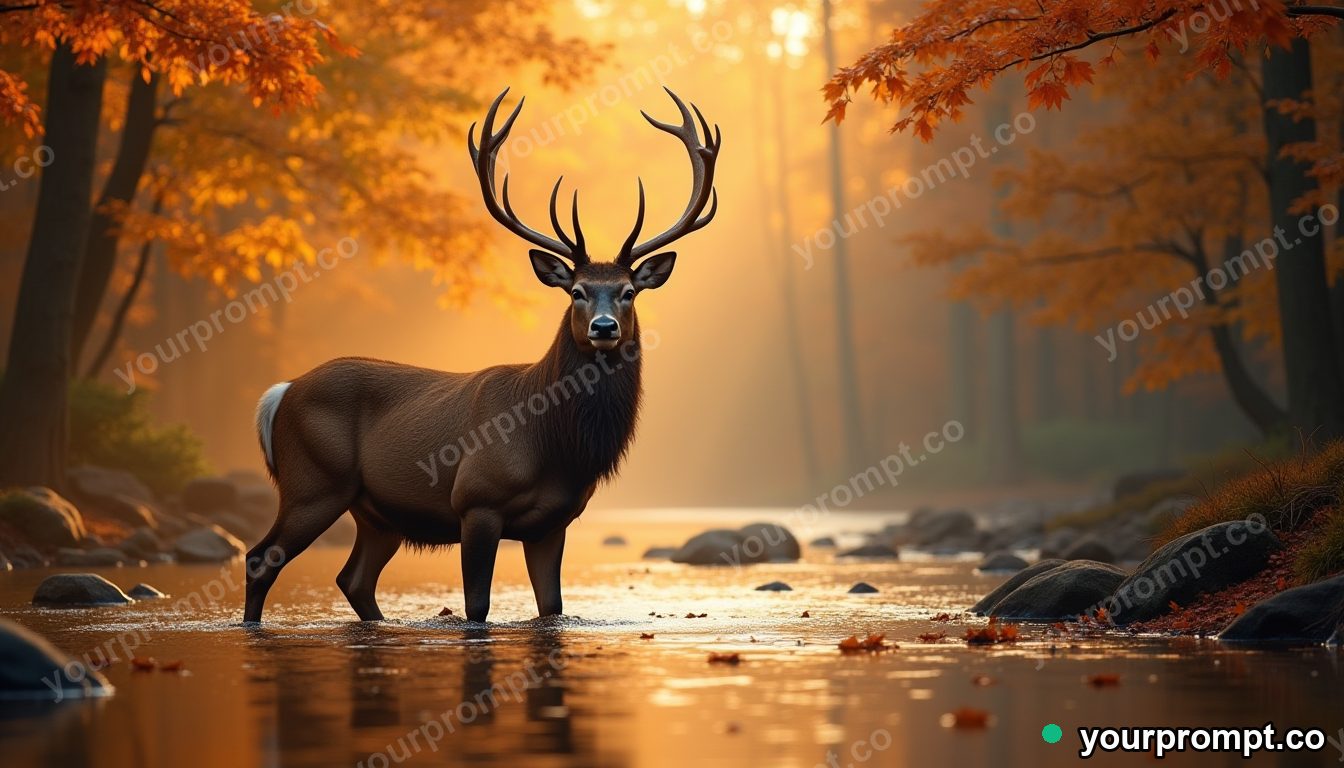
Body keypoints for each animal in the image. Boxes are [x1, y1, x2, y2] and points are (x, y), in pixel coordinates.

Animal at [242, 87, 720, 624]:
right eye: (576, 291)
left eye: (628, 292)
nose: (604, 327)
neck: (552, 445)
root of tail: (280, 394)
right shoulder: (476, 501)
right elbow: (477, 607)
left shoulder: (552, 522)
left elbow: (551, 607)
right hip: (313, 482)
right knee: (261, 557)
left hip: (375, 512)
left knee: (353, 578)